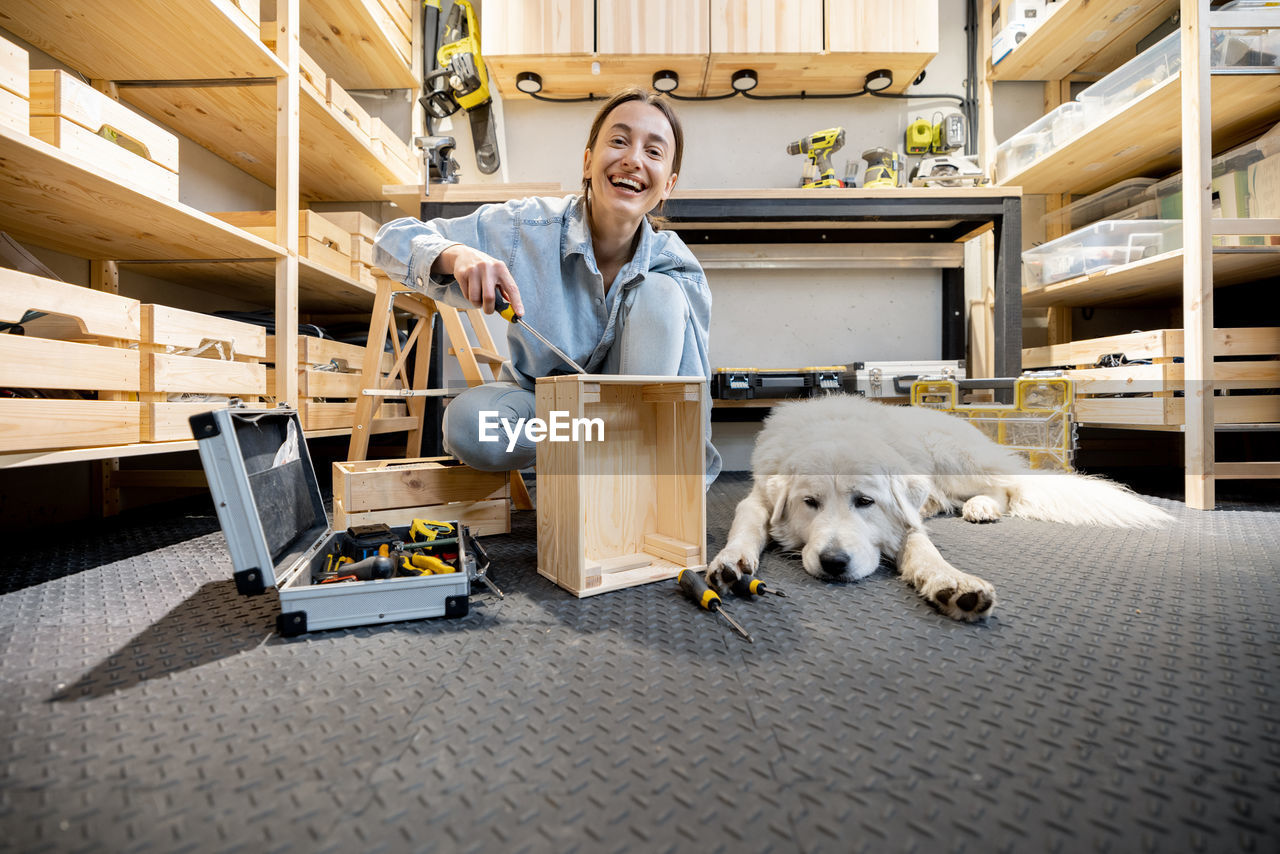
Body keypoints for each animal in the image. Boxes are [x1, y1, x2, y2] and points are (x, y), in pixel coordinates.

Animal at [706, 394, 1172, 622]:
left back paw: (982, 507)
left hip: (955, 458)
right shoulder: (758, 499)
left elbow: (925, 552)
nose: (834, 563)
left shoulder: (905, 521)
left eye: (865, 502)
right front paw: (731, 563)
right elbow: (746, 527)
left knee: (1006, 488)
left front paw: (954, 585)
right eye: (810, 503)